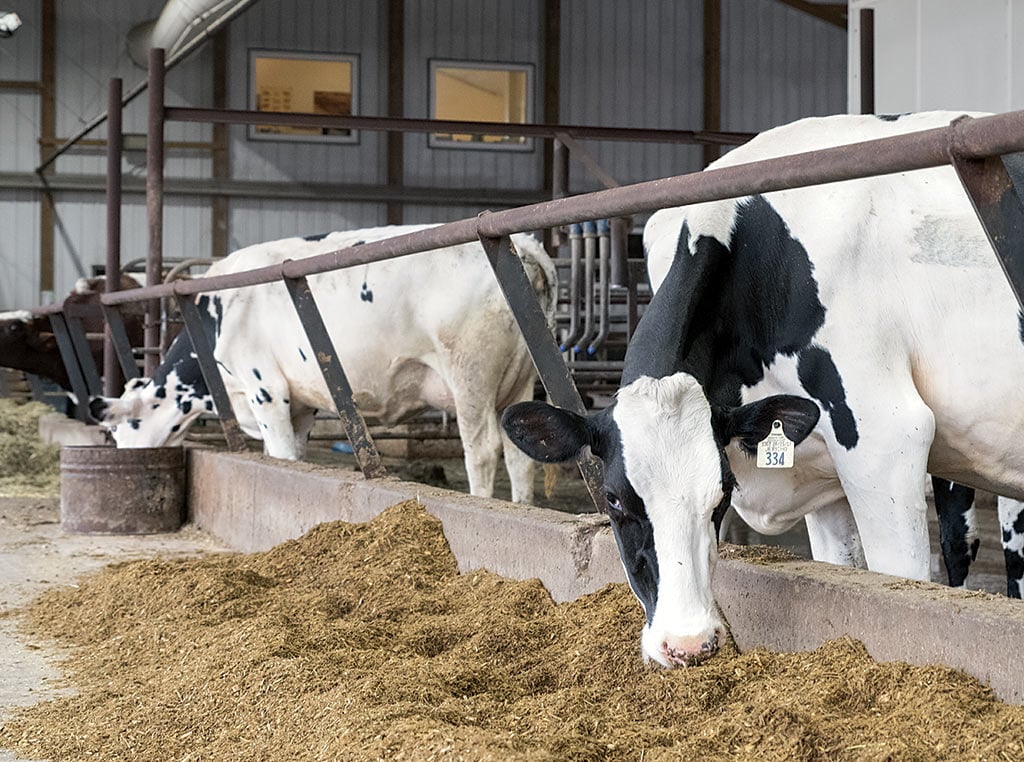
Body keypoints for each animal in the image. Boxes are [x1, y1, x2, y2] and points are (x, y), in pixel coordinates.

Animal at [94, 223, 561, 503]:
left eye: (121, 429)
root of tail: (526, 243)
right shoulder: (300, 405)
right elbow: (295, 455)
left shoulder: (266, 391)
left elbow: (281, 455)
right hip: (519, 380)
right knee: (521, 456)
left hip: (470, 374)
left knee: (482, 451)